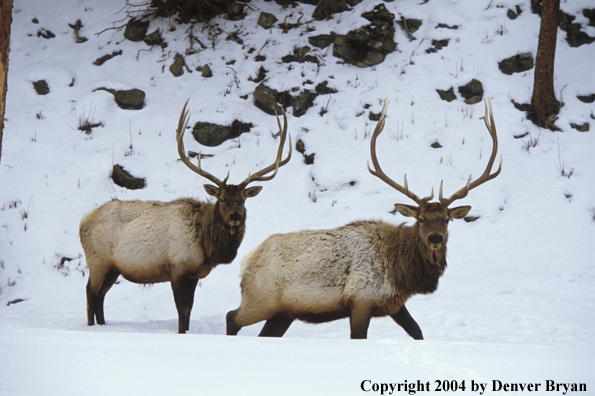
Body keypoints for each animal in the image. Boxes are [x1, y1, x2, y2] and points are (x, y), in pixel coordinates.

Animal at [79, 98, 294, 332]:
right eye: (222, 199)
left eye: (243, 199)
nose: (235, 217)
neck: (207, 246)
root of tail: (83, 220)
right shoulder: (178, 267)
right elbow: (182, 310)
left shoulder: (194, 274)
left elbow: (189, 310)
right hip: (98, 260)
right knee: (90, 293)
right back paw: (91, 326)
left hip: (112, 267)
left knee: (100, 295)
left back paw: (102, 324)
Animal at [228, 99, 502, 340]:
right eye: (422, 219)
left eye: (446, 219)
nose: (435, 238)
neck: (403, 274)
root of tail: (247, 260)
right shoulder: (361, 300)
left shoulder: (393, 304)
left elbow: (418, 332)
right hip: (261, 298)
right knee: (232, 317)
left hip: (283, 312)